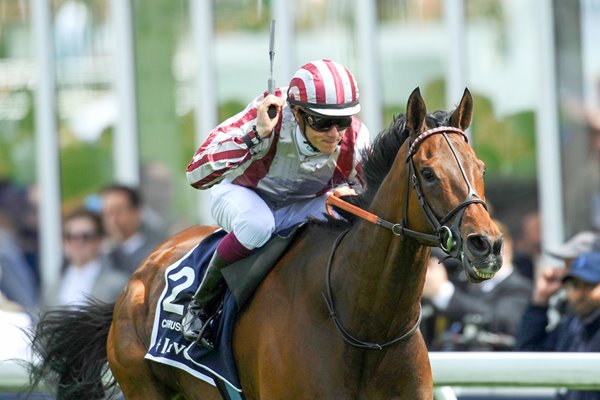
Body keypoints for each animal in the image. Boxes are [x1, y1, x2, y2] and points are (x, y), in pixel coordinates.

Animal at [27, 87, 502, 400]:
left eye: (479, 166)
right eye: (429, 173)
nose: (488, 245)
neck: (367, 328)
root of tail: (135, 280)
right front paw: (261, 120)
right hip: (143, 387)